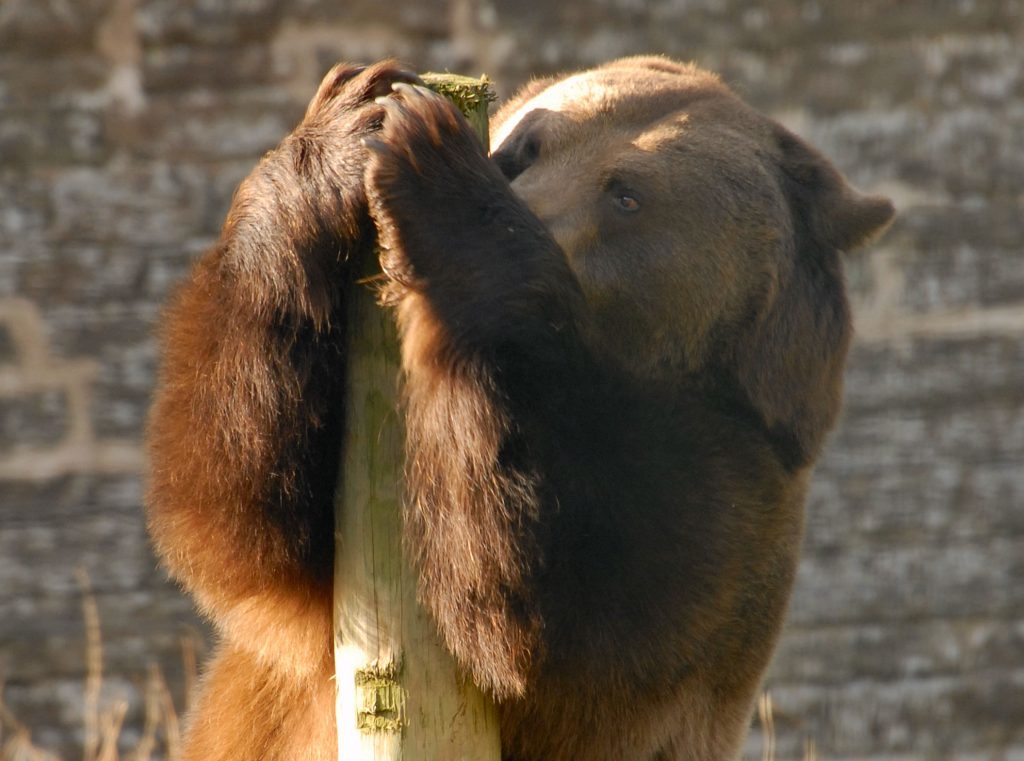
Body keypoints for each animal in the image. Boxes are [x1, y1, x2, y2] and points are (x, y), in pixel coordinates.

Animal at [146, 56, 897, 757]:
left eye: (626, 196)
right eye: (527, 144)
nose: (520, 193)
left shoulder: (718, 509)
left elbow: (529, 611)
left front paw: (435, 176)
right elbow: (243, 513)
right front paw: (350, 121)